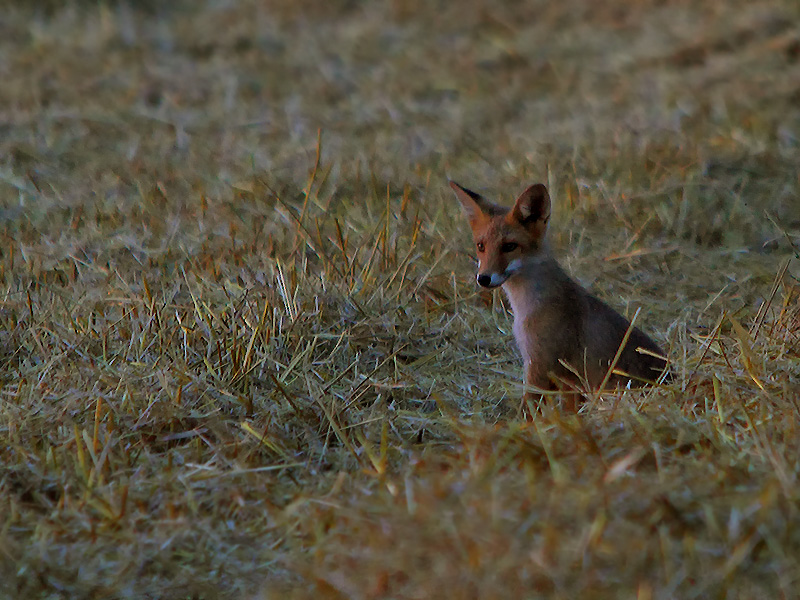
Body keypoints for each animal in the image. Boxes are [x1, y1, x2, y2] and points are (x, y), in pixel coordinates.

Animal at [450, 180, 668, 410]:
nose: (483, 278)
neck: (526, 308)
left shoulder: (542, 368)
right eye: (481, 246)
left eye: (509, 246)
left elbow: (528, 412)